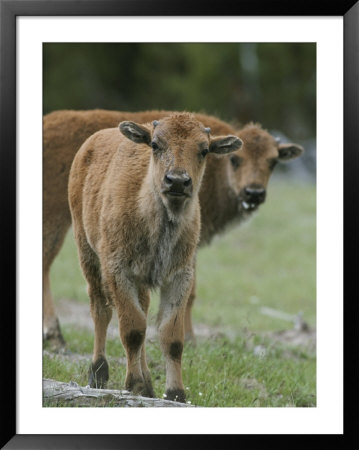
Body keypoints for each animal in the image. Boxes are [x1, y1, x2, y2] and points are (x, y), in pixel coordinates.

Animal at [67, 112, 242, 400]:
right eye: (155, 144)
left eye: (204, 150)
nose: (178, 181)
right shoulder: (118, 271)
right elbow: (132, 330)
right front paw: (134, 384)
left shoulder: (179, 276)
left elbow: (170, 336)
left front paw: (175, 393)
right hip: (87, 253)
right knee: (100, 309)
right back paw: (99, 373)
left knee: (142, 311)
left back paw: (148, 383)